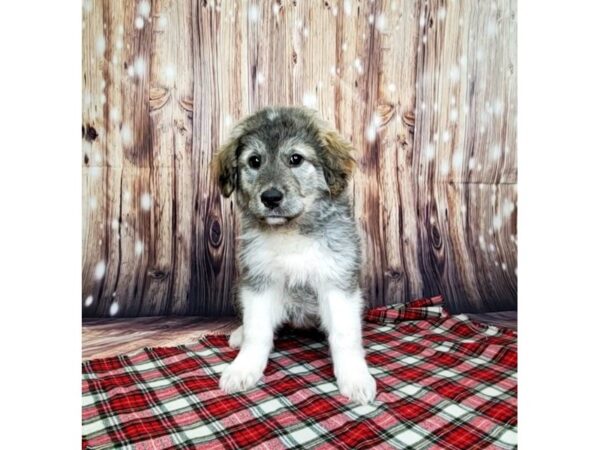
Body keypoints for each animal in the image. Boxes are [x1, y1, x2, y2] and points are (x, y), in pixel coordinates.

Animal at [213, 106, 378, 404]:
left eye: (295, 159)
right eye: (254, 161)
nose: (271, 198)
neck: (292, 233)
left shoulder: (337, 281)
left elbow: (344, 335)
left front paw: (355, 377)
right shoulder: (260, 281)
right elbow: (257, 331)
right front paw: (244, 368)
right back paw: (239, 334)